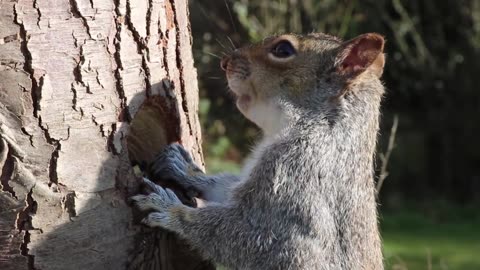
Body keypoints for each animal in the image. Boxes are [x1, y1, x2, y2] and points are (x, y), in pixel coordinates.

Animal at [131, 32, 386, 270]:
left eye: (283, 49)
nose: (225, 62)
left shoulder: (295, 177)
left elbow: (247, 238)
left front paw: (170, 208)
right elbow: (226, 189)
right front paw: (184, 169)